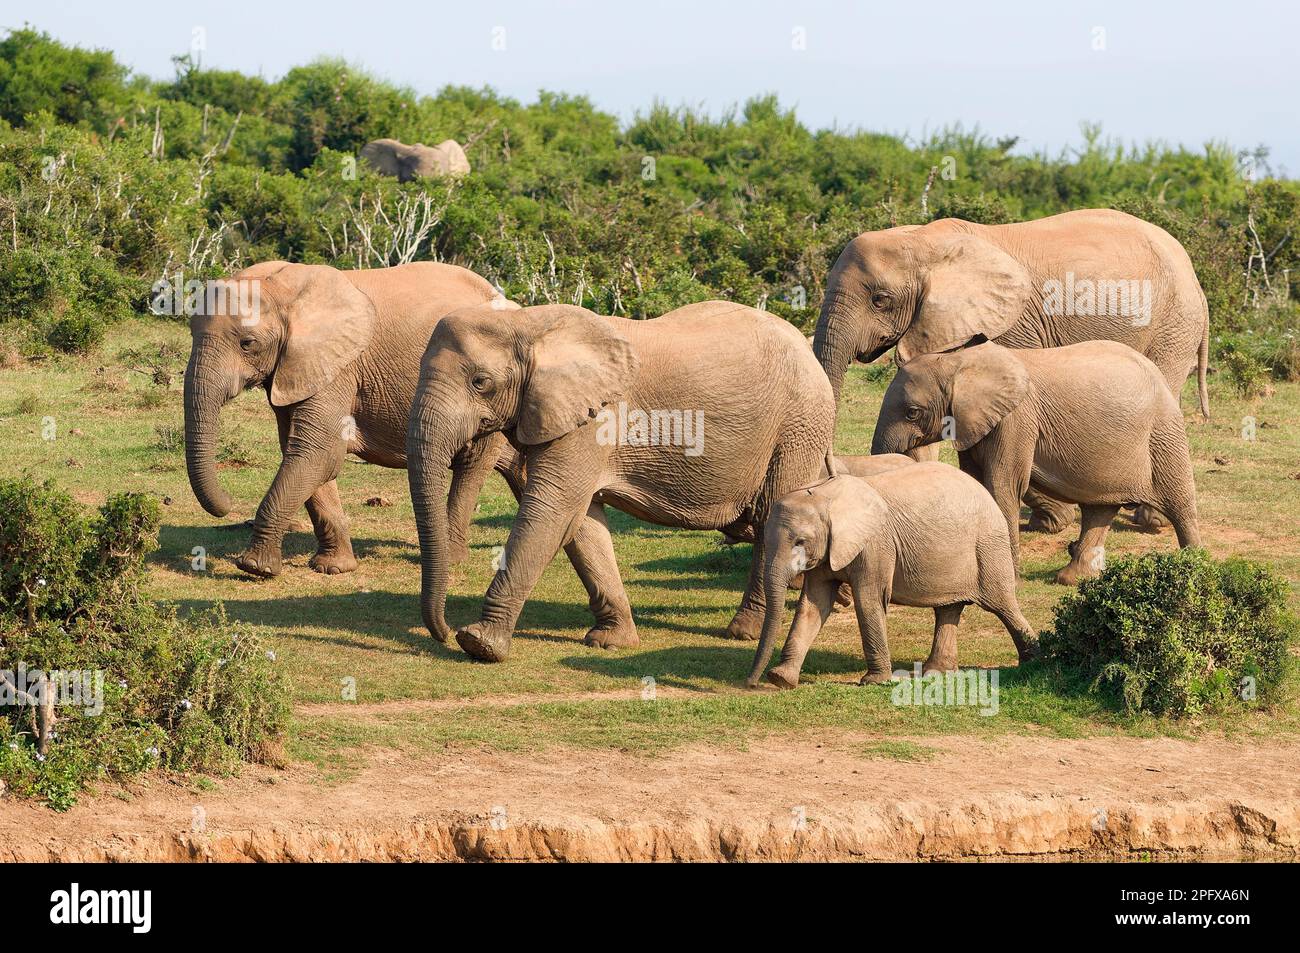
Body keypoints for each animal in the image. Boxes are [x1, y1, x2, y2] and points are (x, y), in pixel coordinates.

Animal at [184, 260, 516, 577]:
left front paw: (255, 568)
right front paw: (333, 568)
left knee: (470, 466)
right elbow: (306, 453)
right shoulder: (297, 367)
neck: (286, 286)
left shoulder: (339, 367)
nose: (227, 502)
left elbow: (318, 452)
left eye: (247, 343)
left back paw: (452, 558)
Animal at [406, 300, 837, 662]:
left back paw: (743, 632)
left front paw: (479, 644)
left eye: (481, 382)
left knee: (771, 517)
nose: (443, 632)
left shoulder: (593, 420)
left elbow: (550, 510)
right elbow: (581, 523)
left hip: (797, 426)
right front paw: (610, 642)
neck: (527, 323)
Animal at [746, 464, 1037, 689]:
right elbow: (814, 604)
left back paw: (1035, 660)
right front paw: (781, 679)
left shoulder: (876, 545)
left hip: (988, 546)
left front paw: (874, 682)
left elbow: (869, 600)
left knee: (1002, 605)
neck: (824, 494)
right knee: (948, 609)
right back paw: (936, 672)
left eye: (800, 541)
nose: (751, 683)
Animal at [813, 208, 1211, 532]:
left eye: (880, 300)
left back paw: (1149, 520)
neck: (922, 241)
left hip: (1174, 324)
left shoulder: (1009, 324)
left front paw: (1053, 520)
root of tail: (1193, 272)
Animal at [870, 340, 1202, 585]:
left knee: (1180, 501)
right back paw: (1072, 578)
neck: (958, 362)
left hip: (1162, 432)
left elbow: (1002, 485)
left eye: (913, 413)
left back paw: (1196, 565)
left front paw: (1011, 581)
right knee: (1098, 508)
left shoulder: (1016, 419)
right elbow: (977, 482)